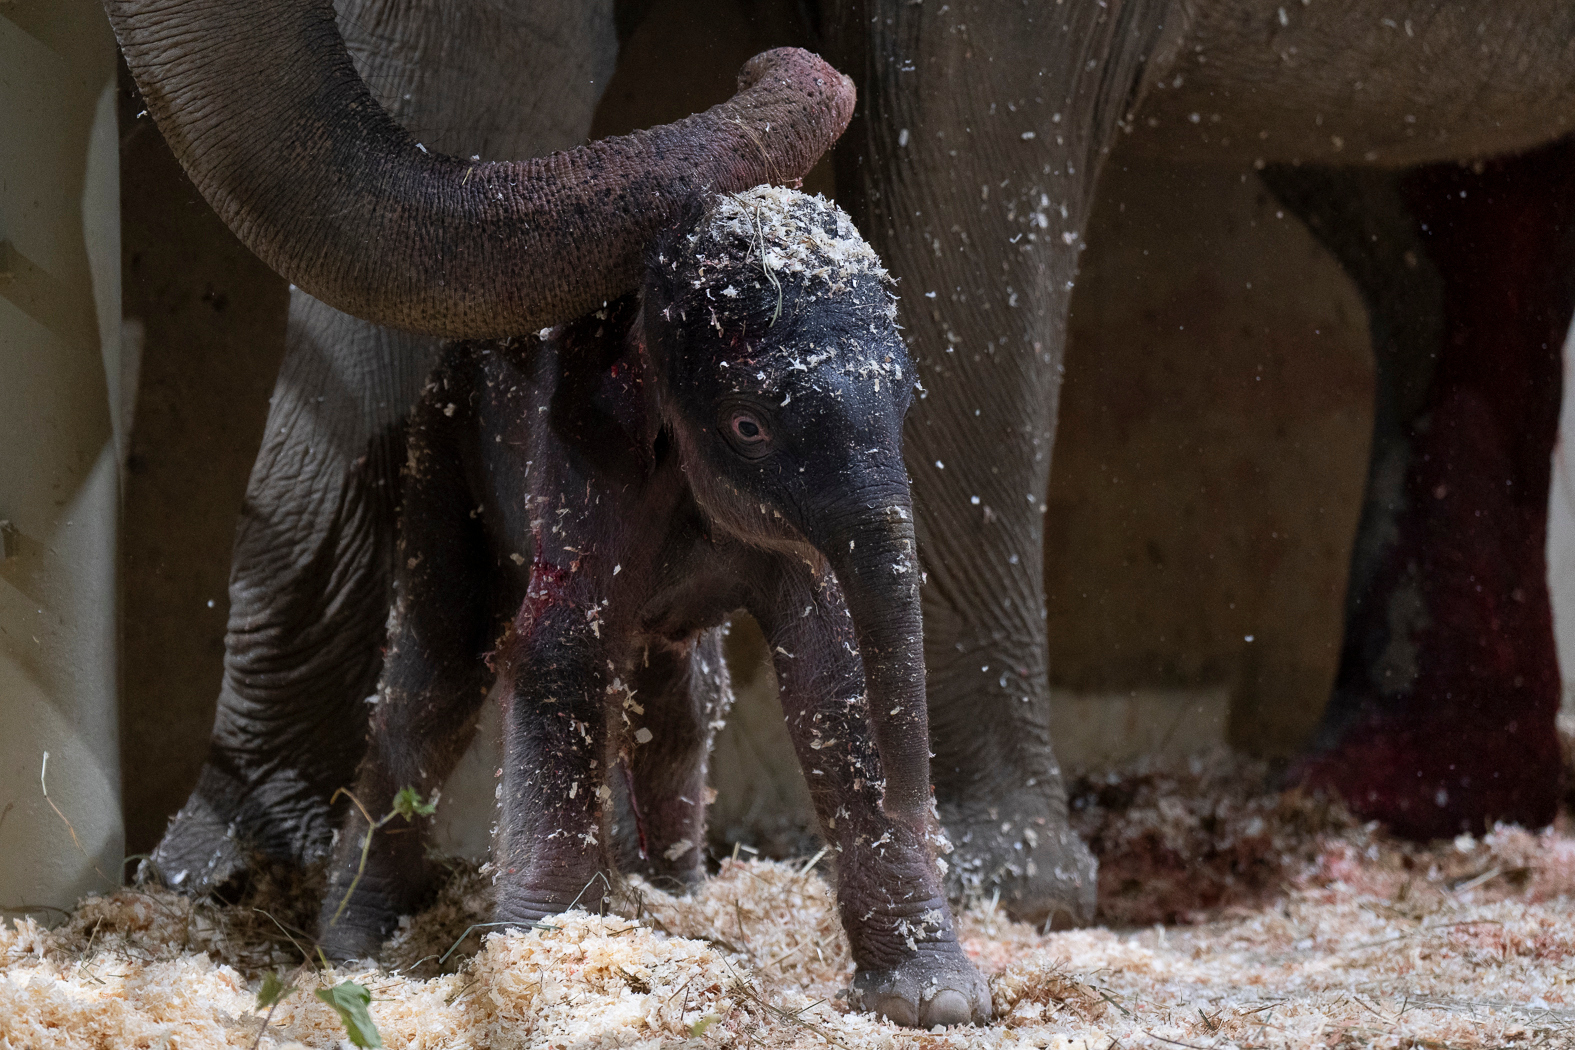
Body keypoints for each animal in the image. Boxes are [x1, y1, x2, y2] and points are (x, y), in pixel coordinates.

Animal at [113, 0, 1575, 936]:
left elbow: (973, 147)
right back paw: (1398, 793)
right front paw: (205, 890)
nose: (776, 58)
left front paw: (994, 888)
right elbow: (442, 87)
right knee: (1442, 227)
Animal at [322, 186, 991, 1025]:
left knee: (683, 697)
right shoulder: (582, 455)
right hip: (442, 449)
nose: (920, 808)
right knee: (433, 677)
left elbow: (835, 672)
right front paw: (550, 966)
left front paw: (935, 1001)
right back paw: (351, 946)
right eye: (747, 426)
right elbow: (561, 652)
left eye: (905, 401)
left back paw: (675, 897)